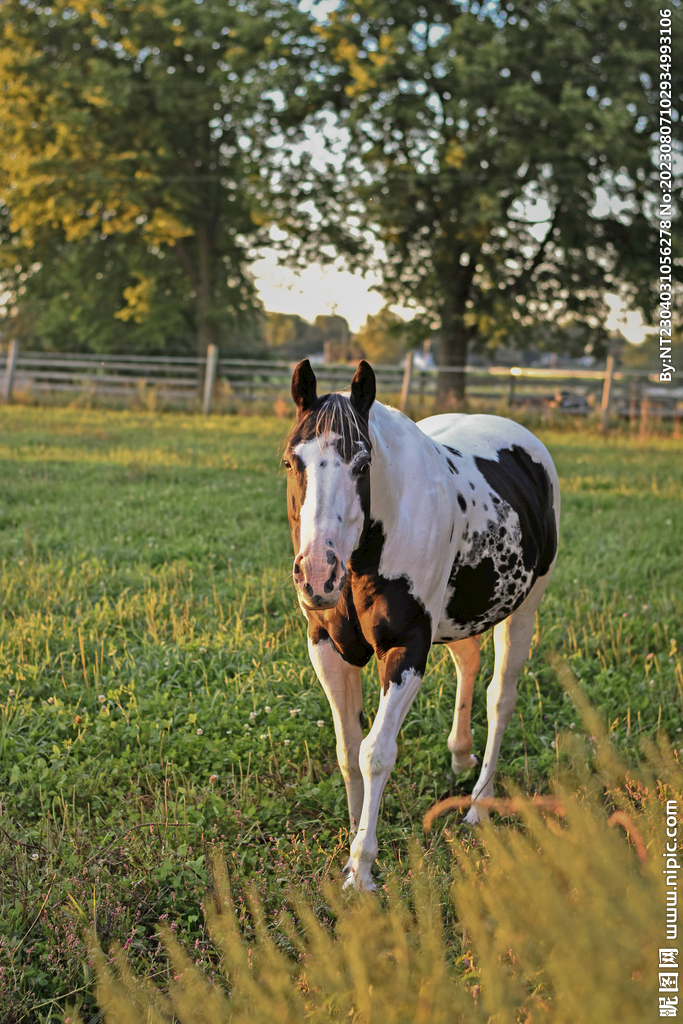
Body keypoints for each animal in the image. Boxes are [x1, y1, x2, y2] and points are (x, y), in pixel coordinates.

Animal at [283, 359, 560, 891]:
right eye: (291, 462)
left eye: (362, 464)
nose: (318, 574)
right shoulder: (326, 647)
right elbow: (348, 749)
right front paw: (352, 842)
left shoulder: (405, 649)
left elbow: (375, 753)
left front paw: (363, 869)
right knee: (468, 663)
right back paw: (459, 756)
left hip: (523, 611)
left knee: (500, 698)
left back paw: (479, 805)